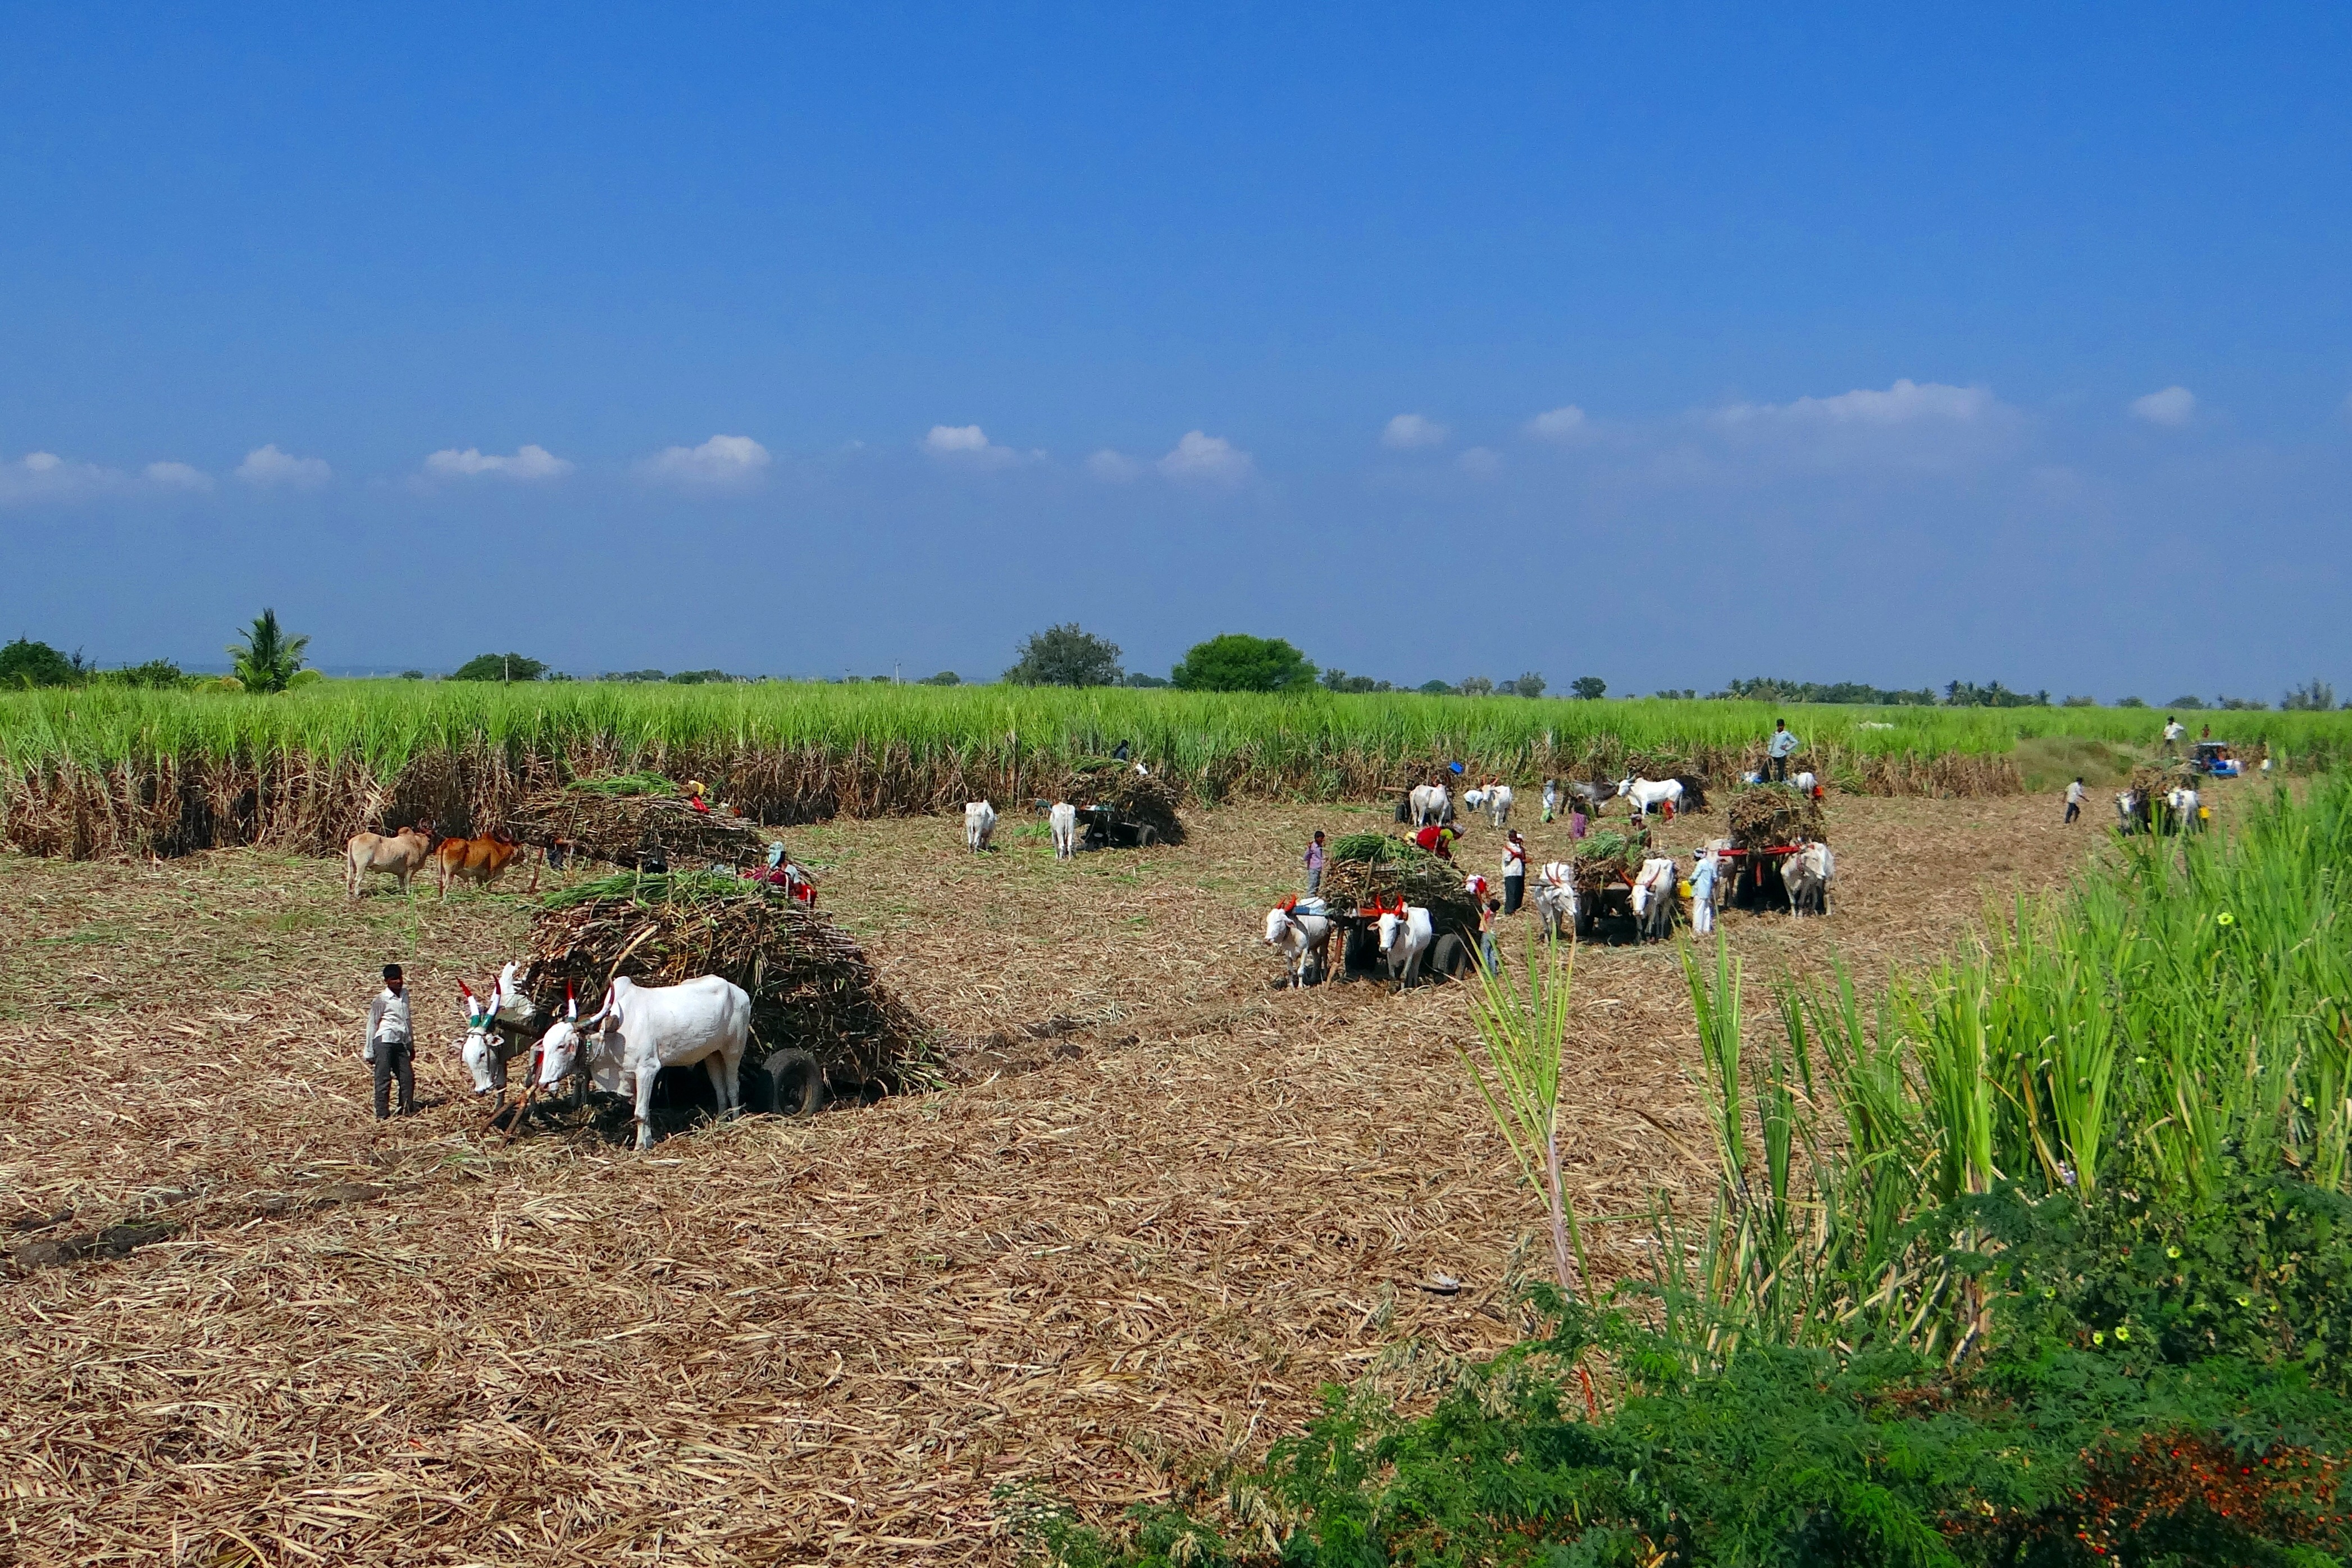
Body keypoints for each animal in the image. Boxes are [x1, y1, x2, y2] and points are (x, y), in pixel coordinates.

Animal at [350, 823, 440, 893]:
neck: (418, 844)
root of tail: (354, 839)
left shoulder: (400, 873)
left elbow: (402, 885)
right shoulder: (410, 869)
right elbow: (408, 883)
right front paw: (408, 894)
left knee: (349, 879)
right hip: (362, 866)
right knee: (358, 879)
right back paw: (357, 895)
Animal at [437, 827, 539, 902]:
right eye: (521, 848)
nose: (524, 858)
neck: (499, 850)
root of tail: (447, 842)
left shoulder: (479, 875)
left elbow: (480, 886)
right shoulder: (492, 872)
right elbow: (488, 887)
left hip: (442, 872)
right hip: (450, 873)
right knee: (446, 886)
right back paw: (445, 901)